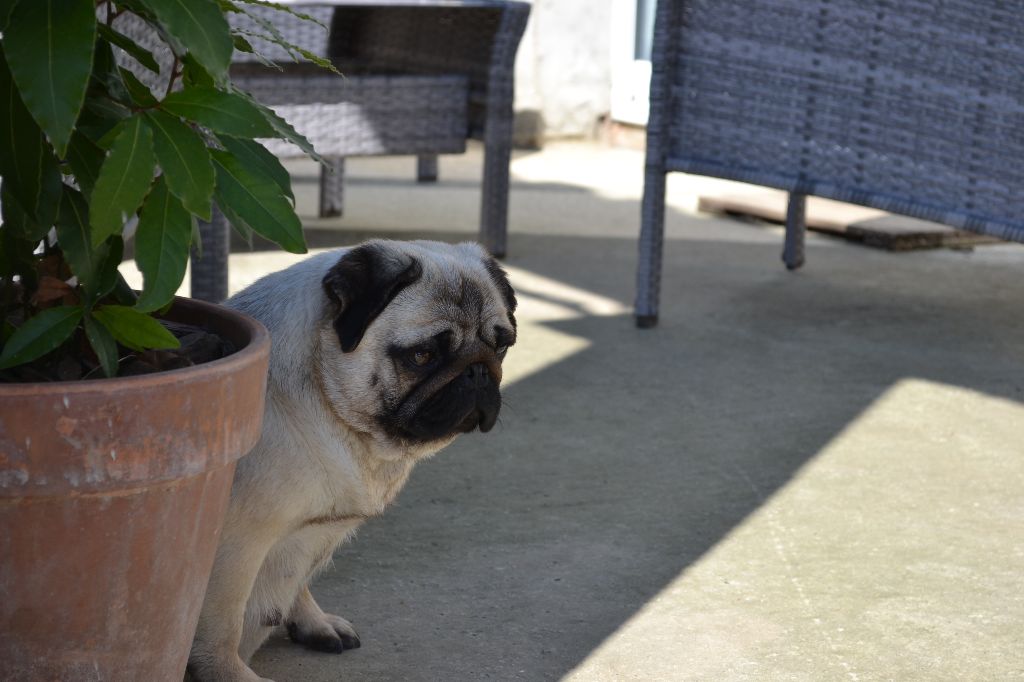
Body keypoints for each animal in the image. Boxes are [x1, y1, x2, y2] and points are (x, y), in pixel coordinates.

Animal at [185, 238, 516, 679]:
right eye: (422, 356)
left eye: (501, 346)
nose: (478, 372)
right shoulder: (238, 547)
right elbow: (222, 626)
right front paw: (229, 673)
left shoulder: (310, 535)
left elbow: (297, 583)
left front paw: (312, 621)